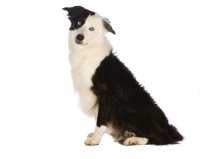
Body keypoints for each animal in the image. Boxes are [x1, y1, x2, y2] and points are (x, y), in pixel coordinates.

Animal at [62, 5, 183, 145]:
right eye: (79, 23)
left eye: (91, 29)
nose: (79, 37)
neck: (87, 51)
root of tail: (167, 127)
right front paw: (94, 135)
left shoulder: (106, 95)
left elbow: (101, 120)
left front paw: (95, 139)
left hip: (127, 108)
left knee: (160, 137)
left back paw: (134, 140)